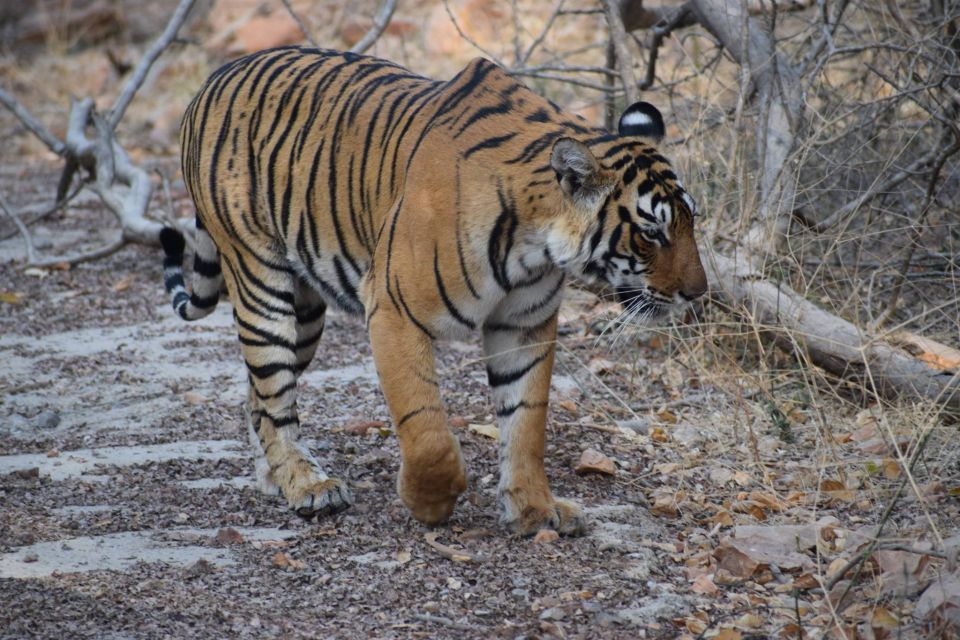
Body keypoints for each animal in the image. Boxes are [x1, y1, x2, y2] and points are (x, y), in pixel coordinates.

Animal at [161, 46, 708, 536]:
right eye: (652, 232)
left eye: (691, 221)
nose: (698, 294)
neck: (534, 243)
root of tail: (215, 76)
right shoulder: (392, 309)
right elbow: (425, 429)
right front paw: (429, 503)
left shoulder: (524, 325)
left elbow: (525, 423)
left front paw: (534, 509)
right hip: (260, 280)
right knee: (273, 391)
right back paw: (307, 485)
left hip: (306, 309)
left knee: (257, 394)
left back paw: (275, 477)